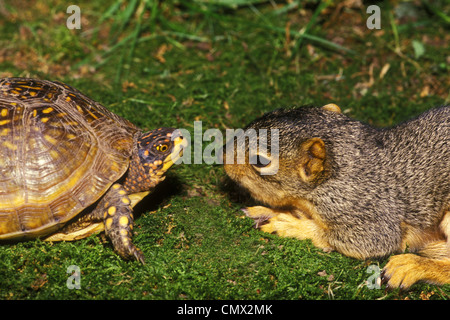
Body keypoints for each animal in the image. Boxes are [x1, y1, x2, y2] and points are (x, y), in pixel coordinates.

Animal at [222, 103, 450, 290]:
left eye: (260, 160)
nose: (222, 155)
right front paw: (267, 211)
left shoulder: (368, 213)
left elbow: (355, 239)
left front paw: (286, 224)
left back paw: (411, 266)